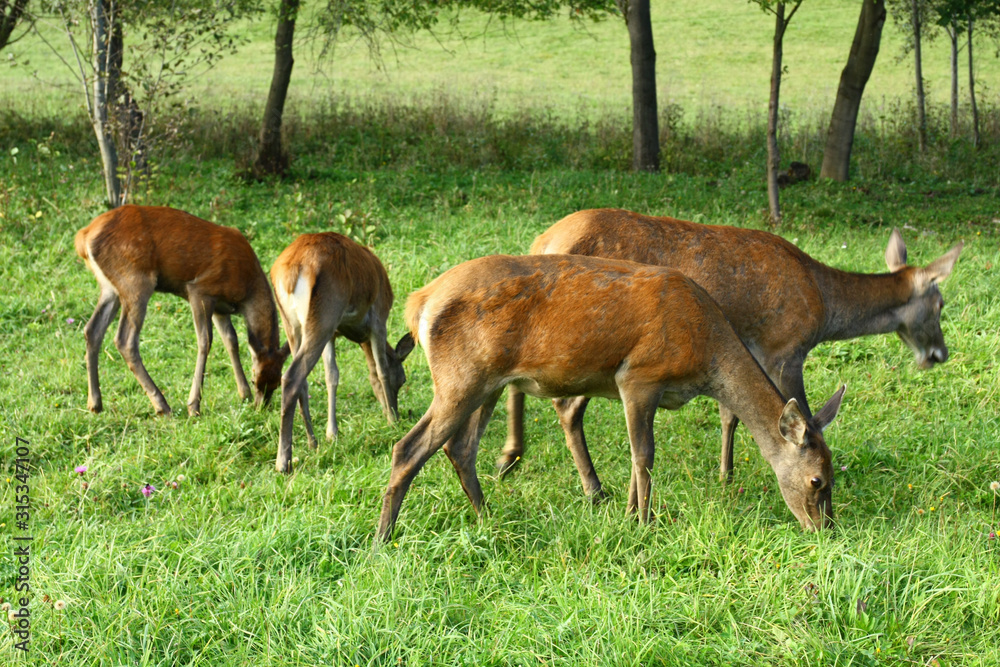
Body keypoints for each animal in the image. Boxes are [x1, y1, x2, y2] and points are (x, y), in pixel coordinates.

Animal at [75, 204, 290, 418]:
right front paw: (194, 405)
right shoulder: (201, 290)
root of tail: (83, 238)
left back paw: (95, 403)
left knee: (92, 330)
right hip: (135, 279)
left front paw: (243, 393)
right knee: (124, 340)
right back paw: (162, 405)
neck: (247, 290)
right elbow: (205, 341)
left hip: (110, 288)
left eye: (277, 384)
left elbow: (231, 340)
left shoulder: (221, 308)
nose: (261, 407)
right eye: (256, 379)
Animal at [270, 232, 414, 472]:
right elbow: (381, 370)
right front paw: (393, 422)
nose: (393, 411)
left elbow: (333, 376)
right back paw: (284, 461)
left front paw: (332, 433)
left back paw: (312, 442)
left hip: (292, 323)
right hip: (324, 314)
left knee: (303, 382)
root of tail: (290, 272)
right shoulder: (379, 317)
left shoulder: (333, 335)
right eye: (403, 379)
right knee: (292, 376)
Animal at [376, 253, 844, 544]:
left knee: (461, 447)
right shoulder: (638, 374)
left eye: (833, 475)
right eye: (817, 481)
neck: (706, 351)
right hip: (460, 377)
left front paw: (631, 513)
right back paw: (384, 537)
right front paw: (642, 520)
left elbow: (640, 454)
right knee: (408, 448)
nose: (825, 530)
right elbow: (644, 453)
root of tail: (419, 302)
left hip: (486, 383)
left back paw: (487, 516)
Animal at [498, 209, 960, 500]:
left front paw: (726, 474)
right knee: (563, 405)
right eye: (940, 304)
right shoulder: (785, 347)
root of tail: (542, 240)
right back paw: (584, 485)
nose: (940, 353)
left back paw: (513, 457)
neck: (823, 303)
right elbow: (801, 412)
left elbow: (730, 414)